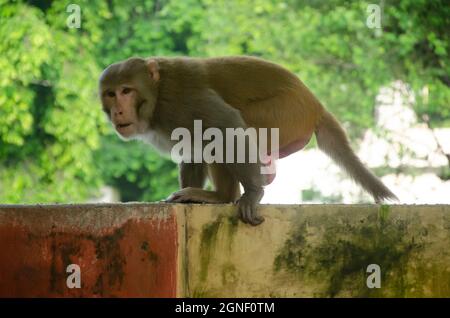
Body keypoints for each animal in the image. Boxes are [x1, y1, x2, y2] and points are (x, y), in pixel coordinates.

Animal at [99, 56, 398, 226]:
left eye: (126, 91)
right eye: (111, 94)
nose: (118, 111)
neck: (157, 94)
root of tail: (315, 105)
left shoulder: (179, 101)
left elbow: (224, 125)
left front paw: (252, 193)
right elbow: (192, 148)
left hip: (285, 114)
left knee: (221, 134)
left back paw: (222, 196)